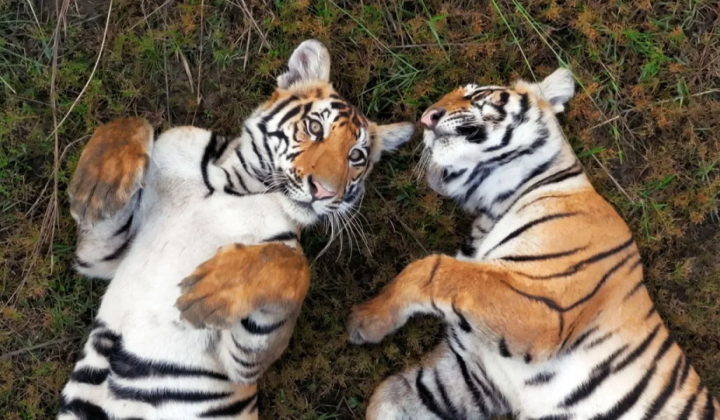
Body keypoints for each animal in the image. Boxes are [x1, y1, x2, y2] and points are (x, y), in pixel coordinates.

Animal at [58, 39, 414, 420]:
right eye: (316, 127)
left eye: (356, 157)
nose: (325, 191)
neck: (236, 188)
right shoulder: (103, 259)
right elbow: (135, 120)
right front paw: (99, 186)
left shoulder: (241, 366)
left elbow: (291, 265)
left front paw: (211, 291)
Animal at [347, 68, 719, 420]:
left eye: (477, 93)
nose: (426, 118)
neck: (491, 204)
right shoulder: (472, 373)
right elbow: (387, 396)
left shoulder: (545, 306)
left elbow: (432, 269)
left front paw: (367, 318)